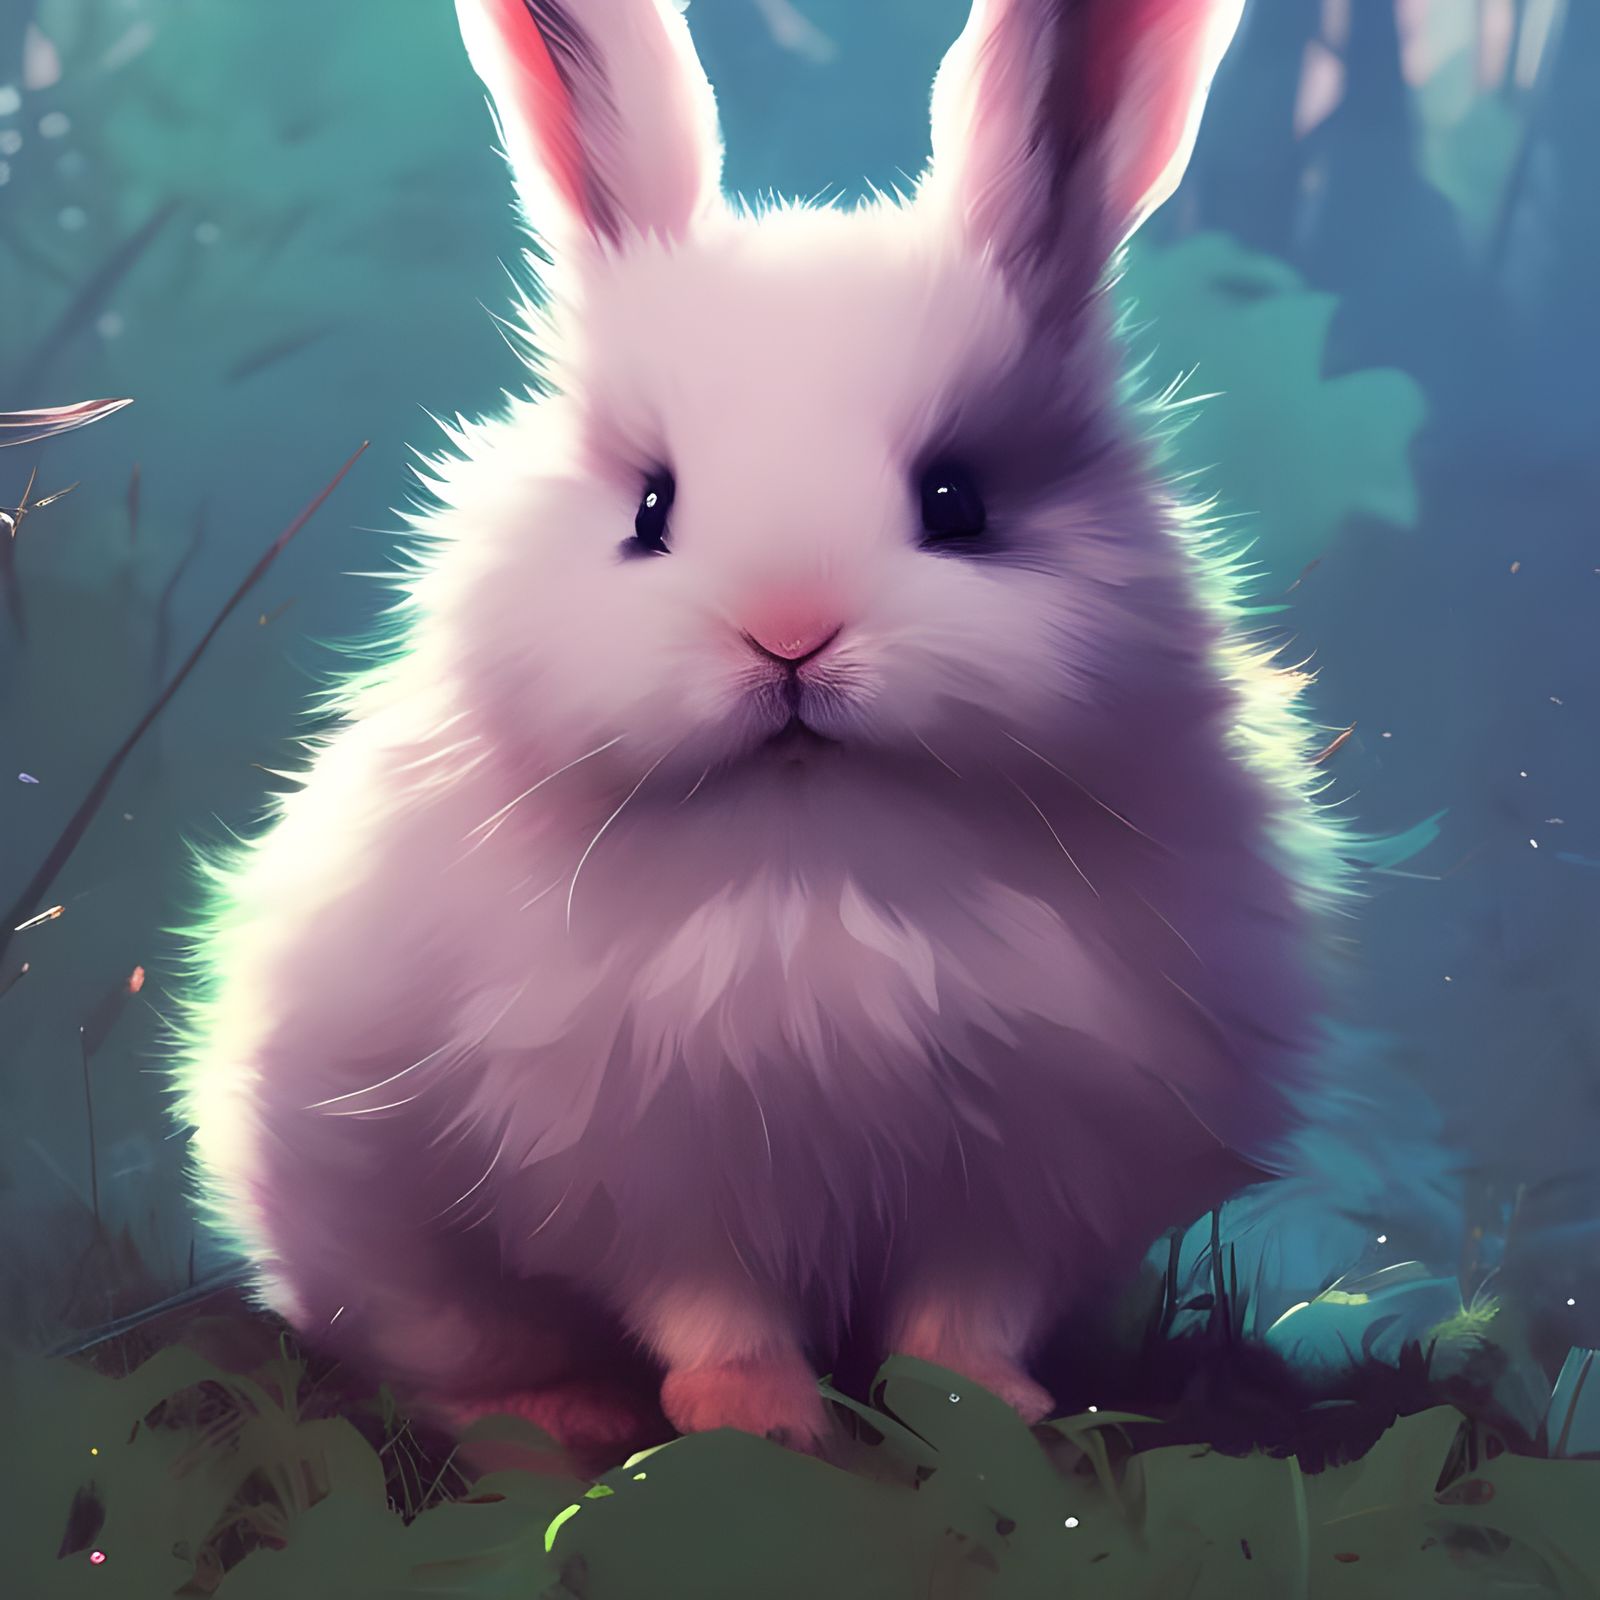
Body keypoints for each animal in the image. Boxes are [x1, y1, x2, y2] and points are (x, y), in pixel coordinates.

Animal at [167, 0, 1352, 1460]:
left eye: (956, 501)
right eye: (652, 509)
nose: (789, 634)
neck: (816, 853)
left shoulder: (1024, 1167)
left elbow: (964, 1316)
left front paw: (985, 1417)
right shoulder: (654, 1172)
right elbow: (712, 1311)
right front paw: (761, 1427)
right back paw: (557, 1417)